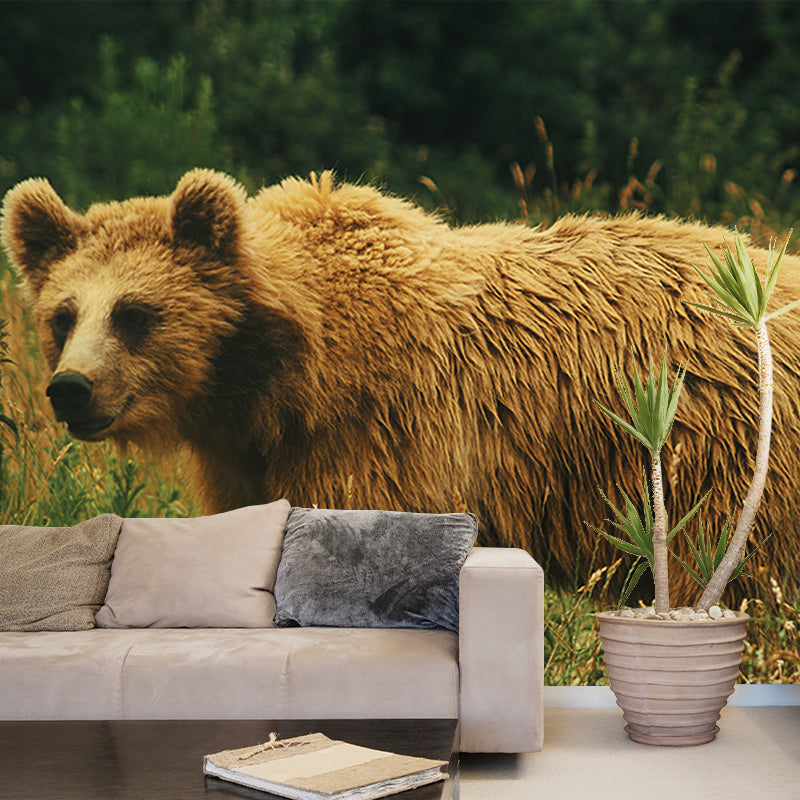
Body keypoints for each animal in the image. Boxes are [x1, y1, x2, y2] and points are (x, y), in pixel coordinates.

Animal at [2, 168, 800, 605]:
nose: (71, 388)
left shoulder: (377, 431)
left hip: (717, 451)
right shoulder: (246, 457)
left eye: (136, 312)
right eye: (63, 313)